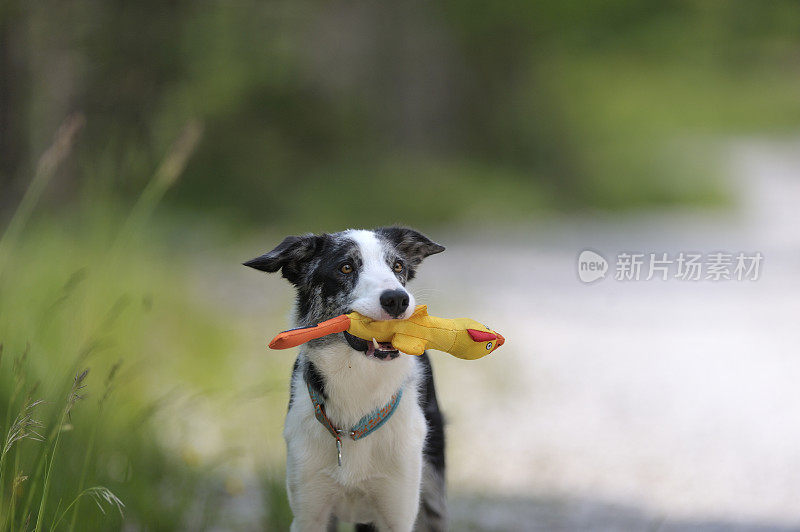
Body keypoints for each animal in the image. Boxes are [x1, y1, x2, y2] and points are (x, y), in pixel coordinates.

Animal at [244, 228, 446, 532]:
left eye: (398, 266)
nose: (398, 299)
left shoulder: (397, 511)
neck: (357, 381)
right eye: (346, 267)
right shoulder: (310, 513)